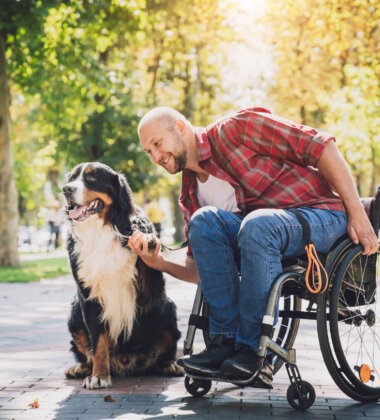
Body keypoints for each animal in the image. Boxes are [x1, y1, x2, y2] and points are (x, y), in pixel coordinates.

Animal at [62, 162, 184, 390]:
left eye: (92, 178)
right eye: (71, 177)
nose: (66, 189)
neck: (101, 230)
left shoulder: (150, 288)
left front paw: (146, 239)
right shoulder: (89, 296)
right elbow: (98, 343)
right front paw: (98, 376)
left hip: (168, 308)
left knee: (168, 349)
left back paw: (170, 365)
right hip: (74, 311)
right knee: (85, 352)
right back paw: (80, 368)